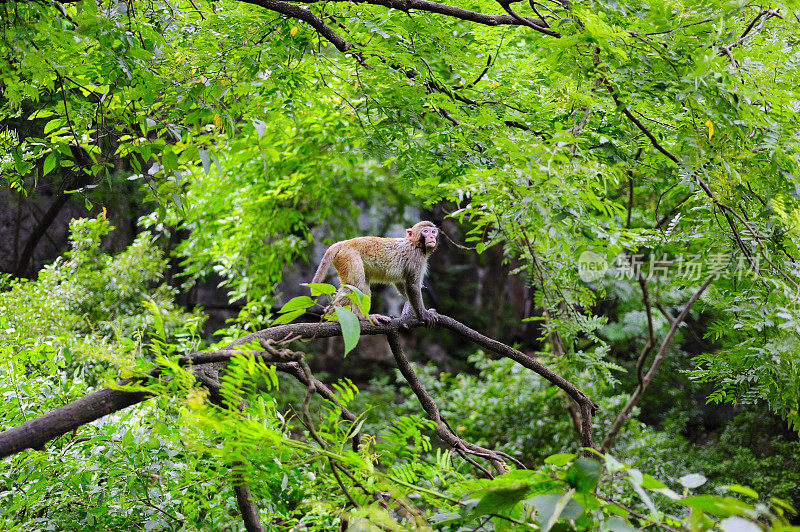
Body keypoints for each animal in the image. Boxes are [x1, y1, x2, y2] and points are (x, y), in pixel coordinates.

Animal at [310, 221, 438, 328]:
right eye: (425, 231)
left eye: (433, 231)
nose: (432, 237)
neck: (416, 243)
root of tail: (345, 243)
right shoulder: (416, 258)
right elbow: (412, 286)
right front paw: (424, 315)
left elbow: (401, 283)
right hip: (349, 256)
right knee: (356, 285)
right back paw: (336, 315)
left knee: (362, 285)